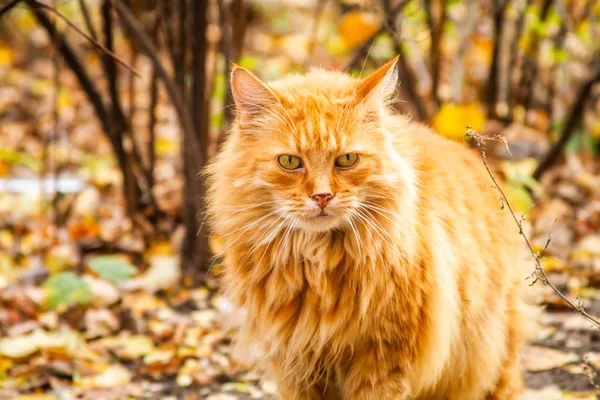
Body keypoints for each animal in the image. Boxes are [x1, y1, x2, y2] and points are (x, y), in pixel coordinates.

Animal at [205, 57, 528, 400]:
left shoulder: (383, 361)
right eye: (290, 162)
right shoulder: (295, 365)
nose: (322, 196)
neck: (318, 269)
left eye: (346, 159)